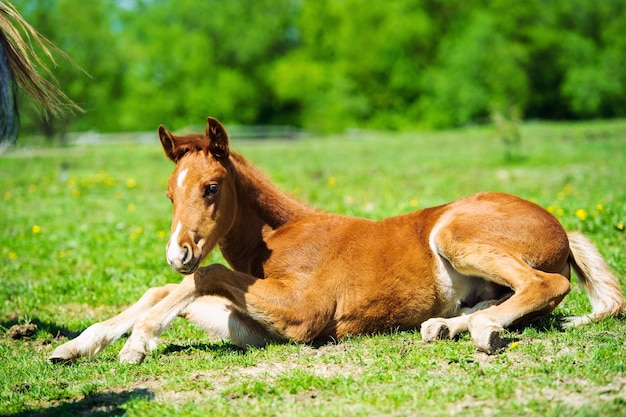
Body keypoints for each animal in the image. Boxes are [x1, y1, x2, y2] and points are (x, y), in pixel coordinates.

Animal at [50, 116, 624, 360]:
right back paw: (446, 325)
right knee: (507, 298)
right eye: (169, 193)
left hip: (455, 232)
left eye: (211, 187)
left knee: (545, 285)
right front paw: (76, 345)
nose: (177, 253)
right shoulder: (255, 328)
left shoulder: (305, 314)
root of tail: (561, 226)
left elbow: (204, 276)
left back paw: (482, 332)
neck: (281, 237)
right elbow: (166, 291)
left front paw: (139, 343)